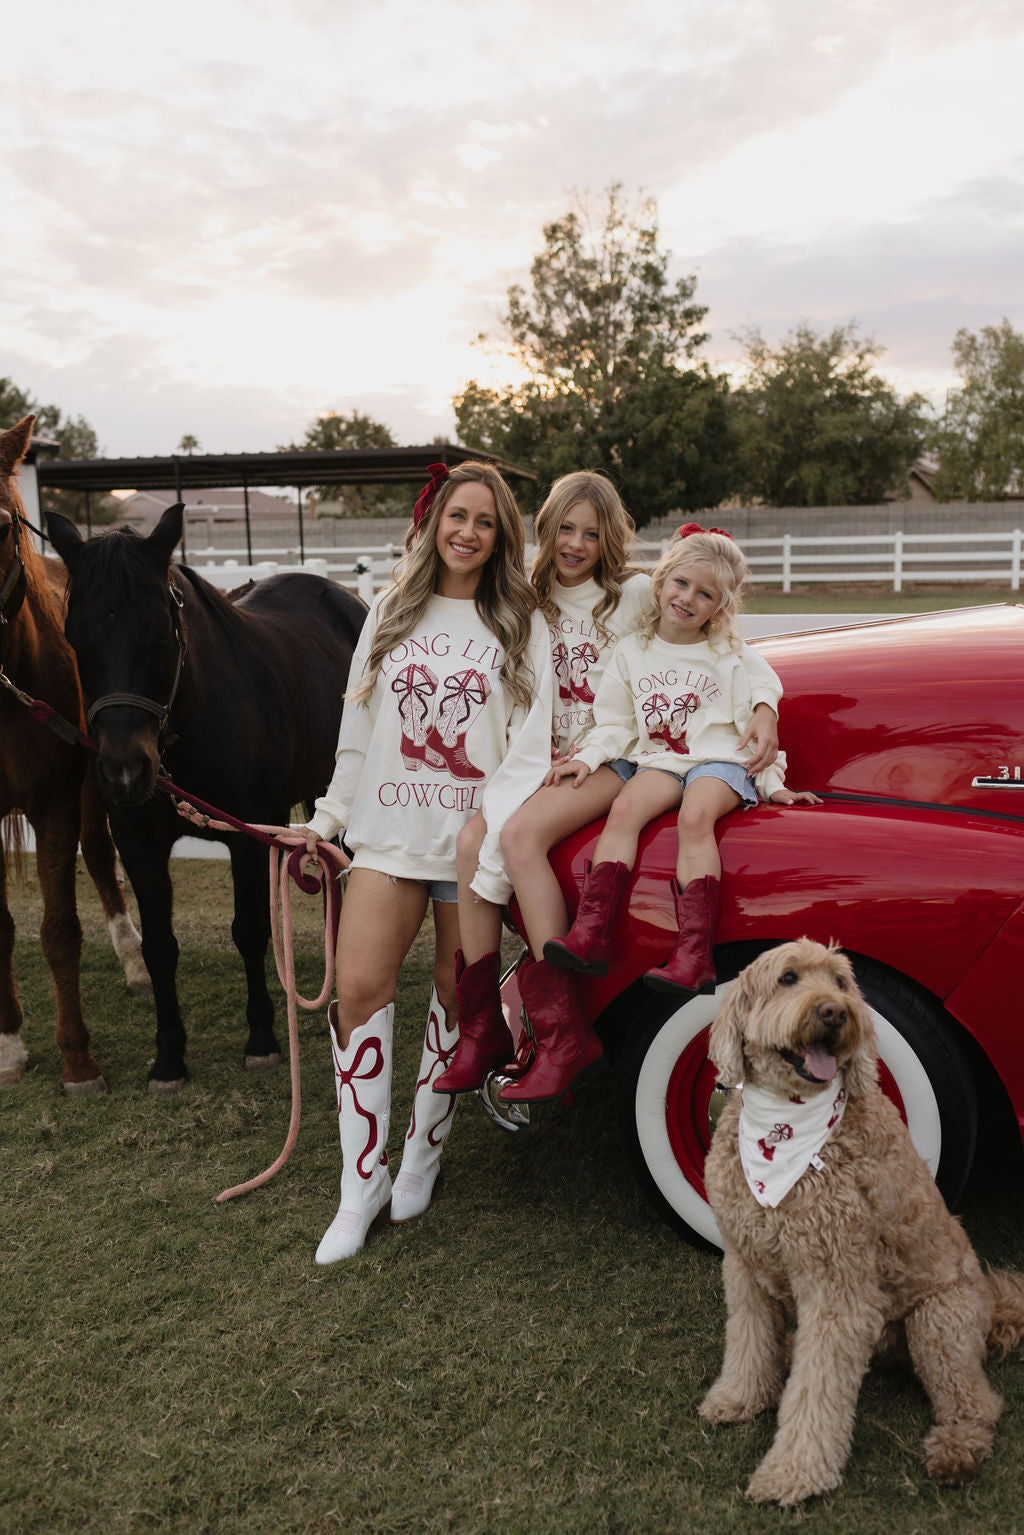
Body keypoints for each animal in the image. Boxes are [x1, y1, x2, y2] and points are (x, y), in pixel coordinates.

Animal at [49, 503, 368, 1092]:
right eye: (75, 638)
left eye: (161, 634)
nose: (124, 770)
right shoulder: (138, 842)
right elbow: (159, 947)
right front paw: (168, 1057)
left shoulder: (245, 835)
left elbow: (249, 930)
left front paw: (262, 1039)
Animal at [700, 939, 1024, 1504]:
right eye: (788, 978)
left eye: (841, 982)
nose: (835, 1012)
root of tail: (993, 1301)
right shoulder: (744, 1266)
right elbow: (747, 1341)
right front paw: (739, 1397)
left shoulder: (838, 1289)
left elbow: (817, 1391)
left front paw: (794, 1473)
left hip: (938, 1323)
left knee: (975, 1401)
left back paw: (956, 1450)